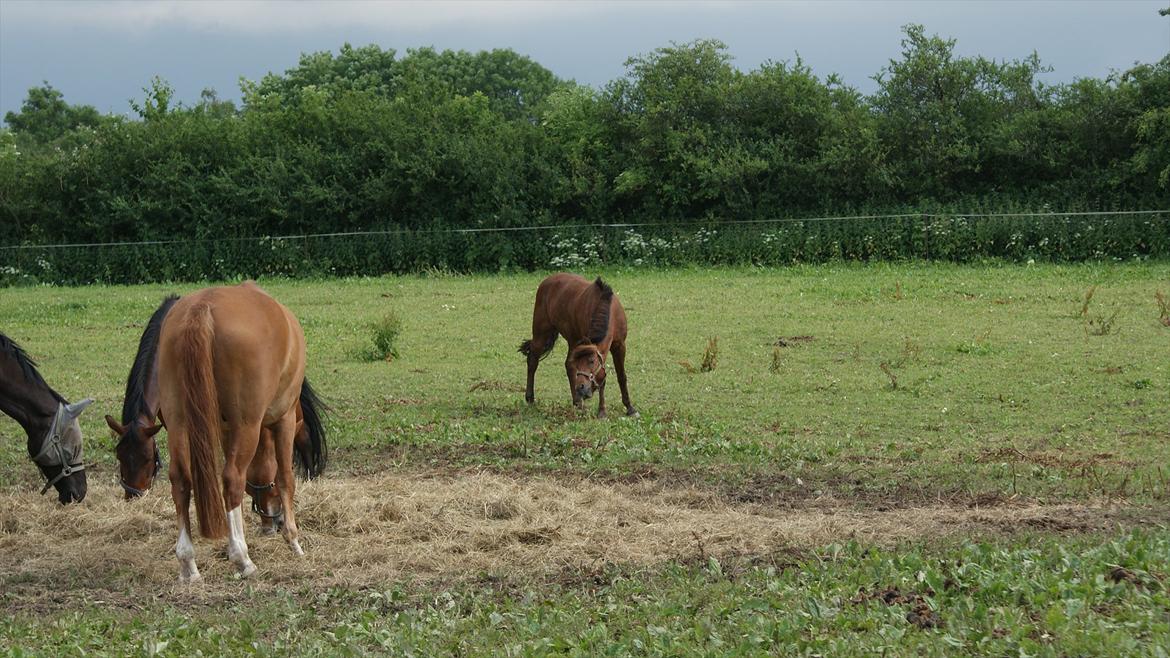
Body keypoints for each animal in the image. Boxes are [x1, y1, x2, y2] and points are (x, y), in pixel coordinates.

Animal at [157, 282, 311, 578]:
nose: (273, 521)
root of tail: (202, 308)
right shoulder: (284, 419)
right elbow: (286, 477)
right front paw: (293, 540)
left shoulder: (226, 430)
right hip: (247, 424)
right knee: (232, 479)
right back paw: (242, 557)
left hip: (178, 422)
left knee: (180, 480)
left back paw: (188, 563)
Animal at [517, 272, 636, 416]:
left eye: (591, 361)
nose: (580, 388)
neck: (607, 307)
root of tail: (548, 280)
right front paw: (602, 411)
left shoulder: (620, 345)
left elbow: (621, 376)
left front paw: (629, 407)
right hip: (542, 334)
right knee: (533, 360)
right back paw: (530, 397)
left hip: (572, 340)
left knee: (568, 365)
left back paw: (577, 402)